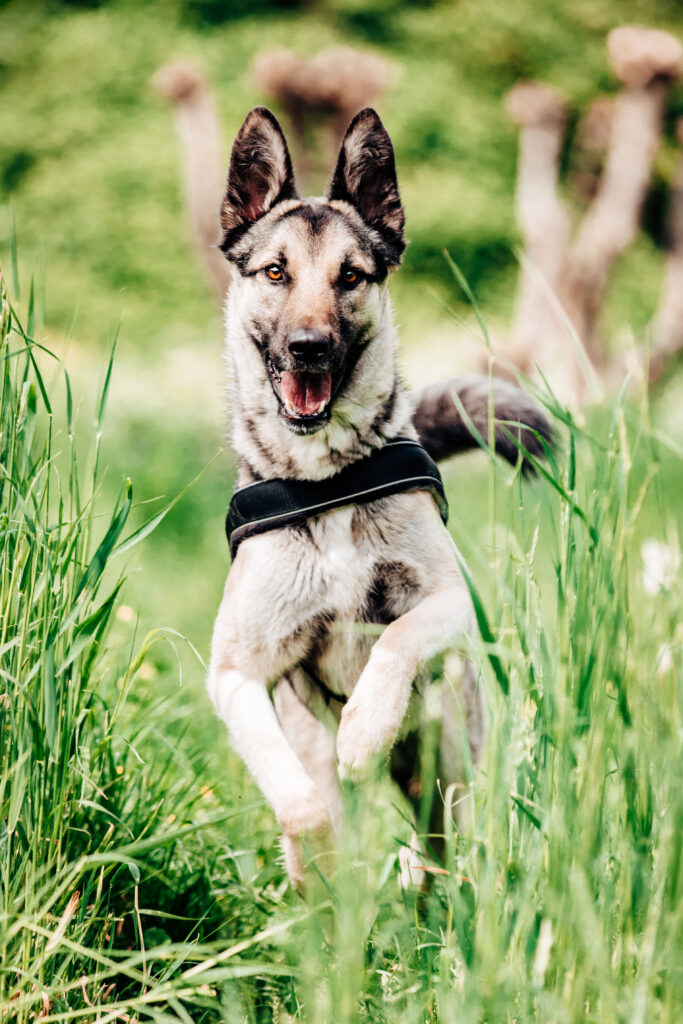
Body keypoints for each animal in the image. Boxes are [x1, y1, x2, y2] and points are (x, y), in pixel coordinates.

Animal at [206, 105, 548, 888]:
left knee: (445, 848)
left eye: (351, 276)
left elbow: (397, 638)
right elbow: (302, 806)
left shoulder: (453, 603)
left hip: (447, 771)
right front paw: (318, 851)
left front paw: (365, 729)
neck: (326, 479)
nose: (307, 347)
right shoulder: (233, 676)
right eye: (276, 272)